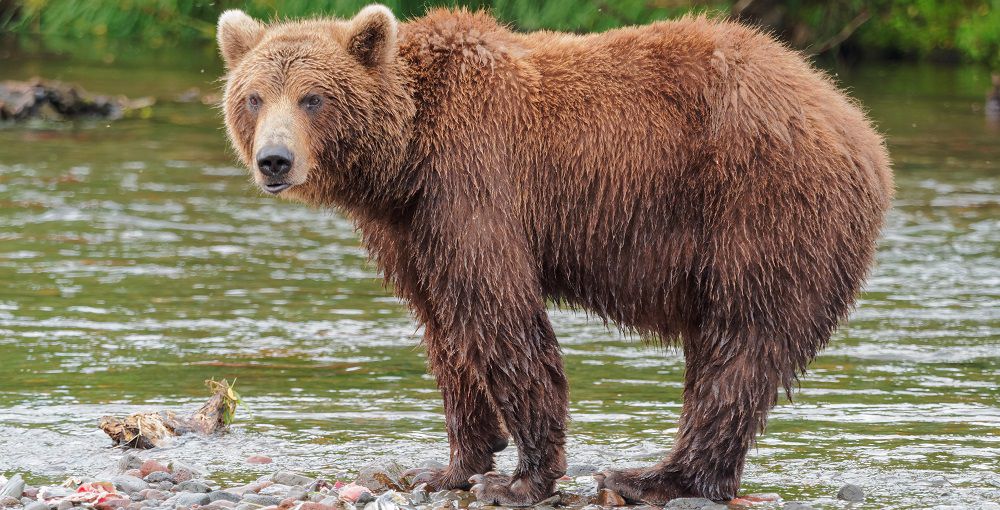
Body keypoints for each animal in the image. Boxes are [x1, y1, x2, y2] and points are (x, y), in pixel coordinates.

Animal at [216, 5, 892, 506]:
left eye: (312, 97)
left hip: (762, 210)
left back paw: (652, 477)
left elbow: (499, 315)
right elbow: (444, 329)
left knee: (740, 346)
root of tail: (858, 125)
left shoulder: (473, 182)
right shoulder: (410, 230)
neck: (404, 159)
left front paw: (520, 478)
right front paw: (450, 464)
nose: (274, 160)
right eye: (254, 96)